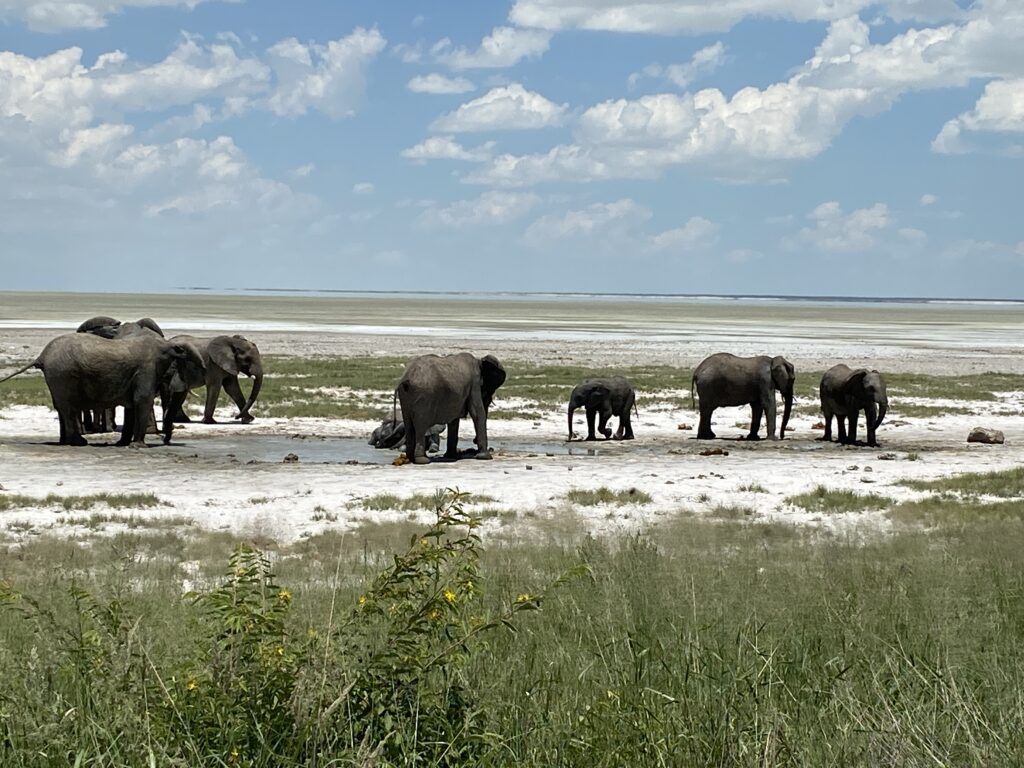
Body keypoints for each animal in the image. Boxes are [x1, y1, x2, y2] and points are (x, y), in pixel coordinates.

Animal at [0, 333, 203, 448]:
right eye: (175, 370)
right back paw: (79, 443)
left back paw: (64, 442)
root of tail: (41, 356)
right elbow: (142, 401)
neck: (166, 346)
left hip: (56, 376)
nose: (165, 441)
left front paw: (123, 444)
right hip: (63, 374)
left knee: (60, 406)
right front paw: (138, 447)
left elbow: (131, 406)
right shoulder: (147, 370)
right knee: (68, 408)